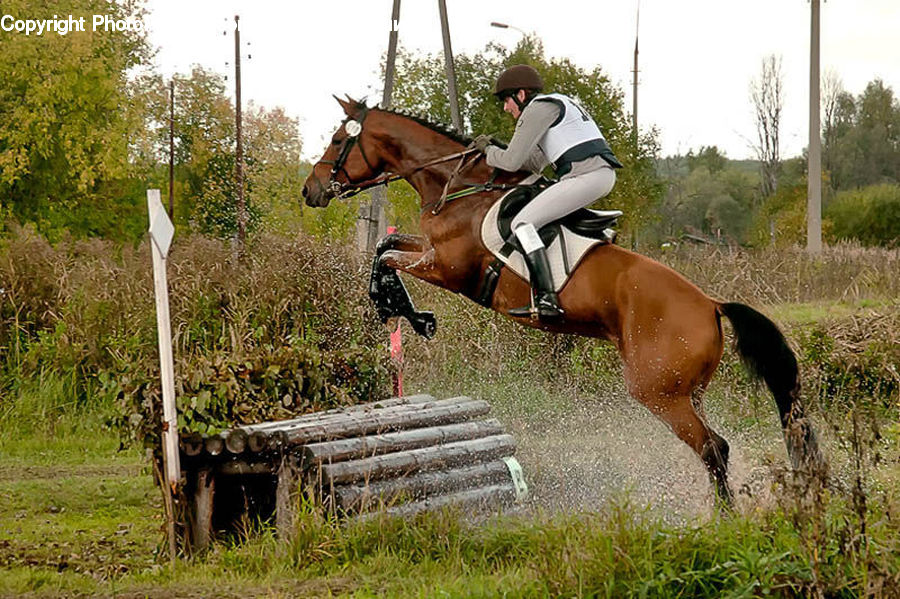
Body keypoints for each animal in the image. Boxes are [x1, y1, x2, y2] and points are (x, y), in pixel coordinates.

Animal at [301, 97, 825, 505]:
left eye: (337, 140)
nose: (310, 190)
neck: (457, 187)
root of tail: (711, 304)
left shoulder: (449, 267)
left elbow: (386, 258)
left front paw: (406, 312)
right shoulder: (429, 251)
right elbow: (384, 245)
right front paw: (403, 310)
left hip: (657, 392)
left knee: (714, 448)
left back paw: (722, 519)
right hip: (685, 390)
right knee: (715, 447)